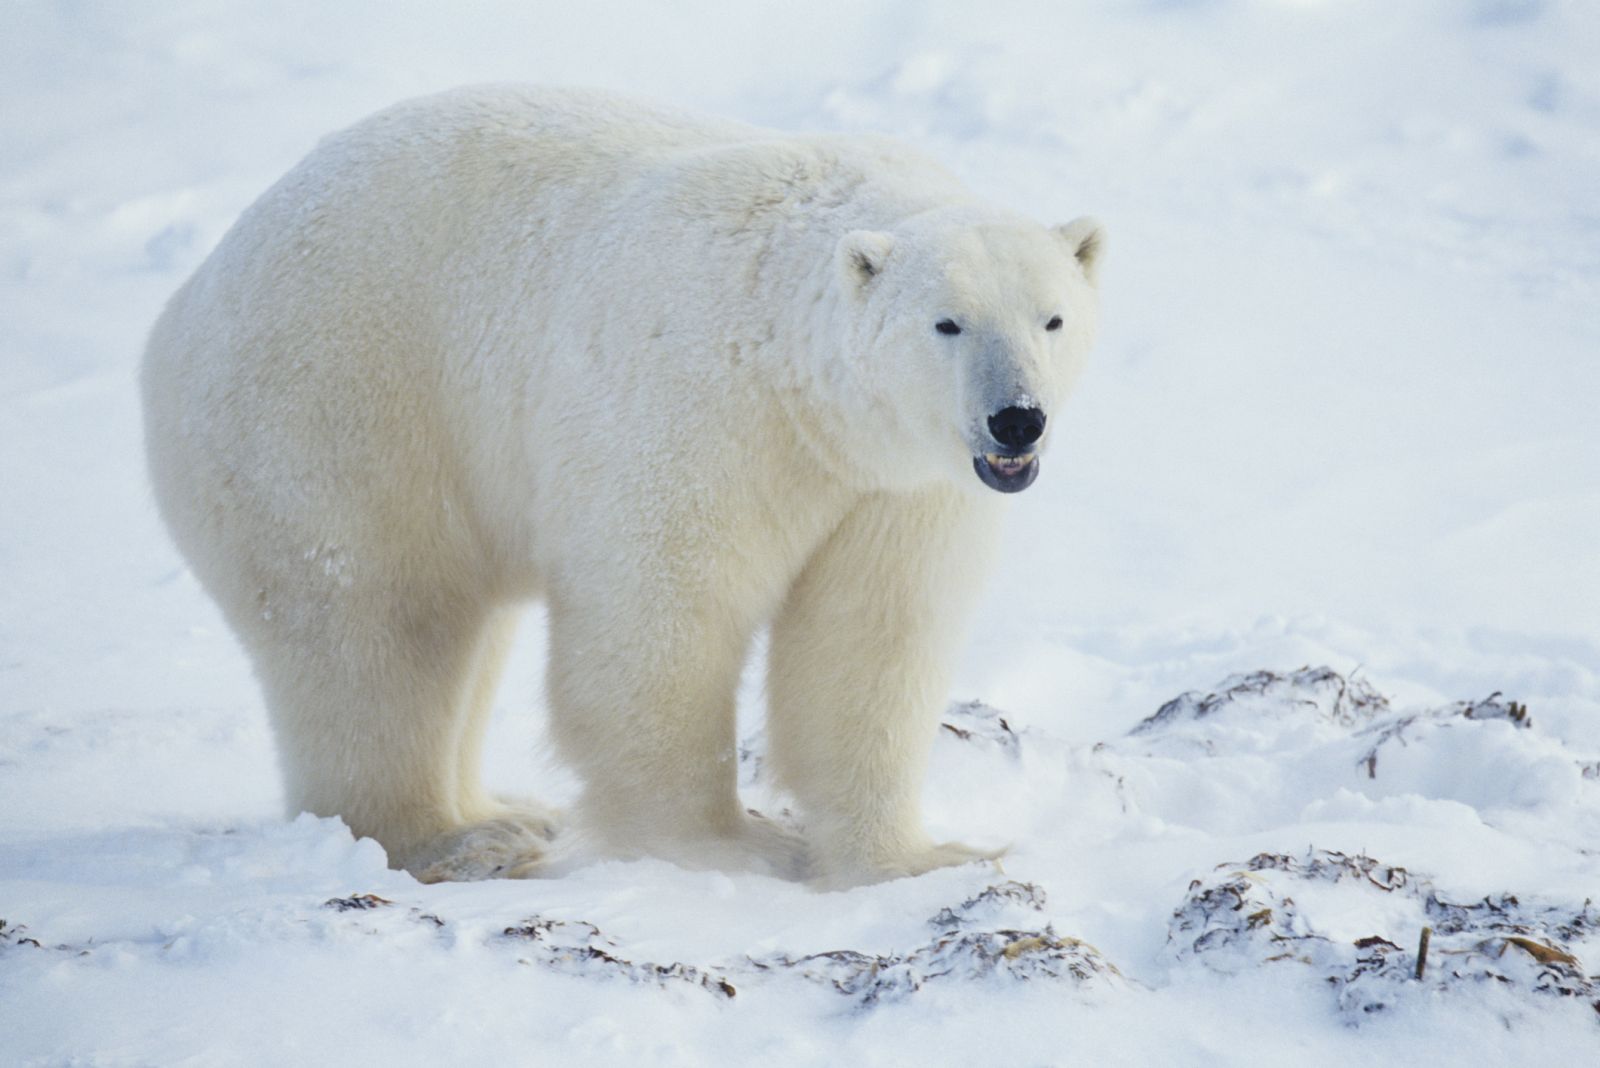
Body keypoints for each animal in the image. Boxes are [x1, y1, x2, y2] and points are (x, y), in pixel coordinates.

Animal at [144, 85, 1107, 882]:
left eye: (1052, 318)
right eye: (948, 323)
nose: (1016, 419)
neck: (795, 376)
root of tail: (185, 303)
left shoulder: (896, 486)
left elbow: (871, 636)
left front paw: (917, 857)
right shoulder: (701, 406)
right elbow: (663, 615)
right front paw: (724, 844)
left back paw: (504, 809)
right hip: (338, 409)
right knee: (376, 626)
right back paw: (456, 839)